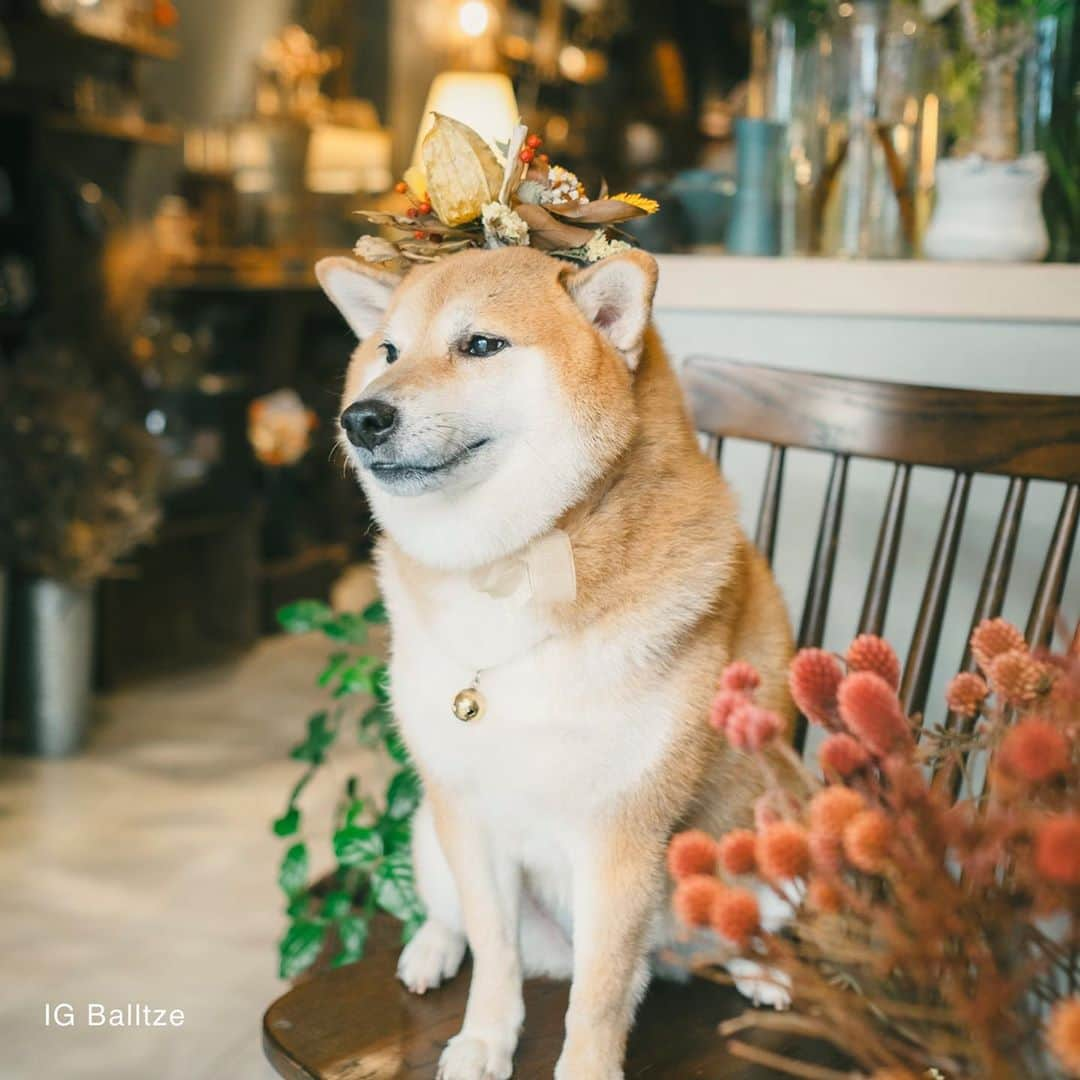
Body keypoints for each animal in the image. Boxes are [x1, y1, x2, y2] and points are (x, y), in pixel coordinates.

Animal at [315, 247, 790, 1080]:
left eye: (480, 345)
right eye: (388, 352)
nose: (362, 418)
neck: (512, 571)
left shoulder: (619, 838)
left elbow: (597, 998)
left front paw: (585, 1067)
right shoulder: (467, 812)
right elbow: (495, 951)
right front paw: (483, 1039)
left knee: (726, 937)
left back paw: (759, 970)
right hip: (426, 831)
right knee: (451, 917)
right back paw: (430, 951)